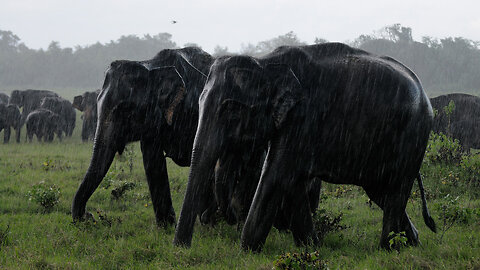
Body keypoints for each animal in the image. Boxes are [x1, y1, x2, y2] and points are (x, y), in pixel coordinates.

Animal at [174, 42, 436, 251]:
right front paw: (311, 247)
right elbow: (293, 183)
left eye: (231, 110)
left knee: (395, 190)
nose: (181, 248)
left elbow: (277, 176)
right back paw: (412, 243)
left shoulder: (303, 117)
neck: (266, 63)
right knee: (381, 191)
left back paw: (388, 249)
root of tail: (424, 93)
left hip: (413, 136)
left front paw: (245, 252)